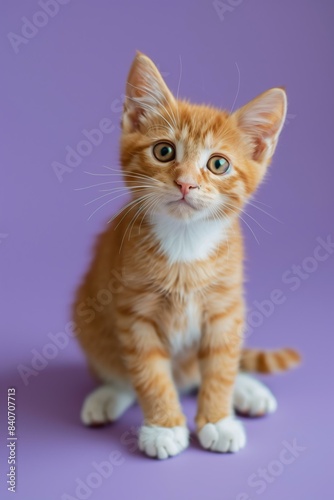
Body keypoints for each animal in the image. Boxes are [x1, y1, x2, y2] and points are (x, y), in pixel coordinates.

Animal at [73, 52, 300, 458]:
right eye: (164, 151)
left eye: (218, 164)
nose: (185, 183)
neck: (185, 242)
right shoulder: (134, 313)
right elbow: (148, 372)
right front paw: (164, 427)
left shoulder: (226, 307)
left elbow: (221, 364)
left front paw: (218, 420)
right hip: (88, 319)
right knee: (123, 373)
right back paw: (107, 396)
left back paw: (247, 389)